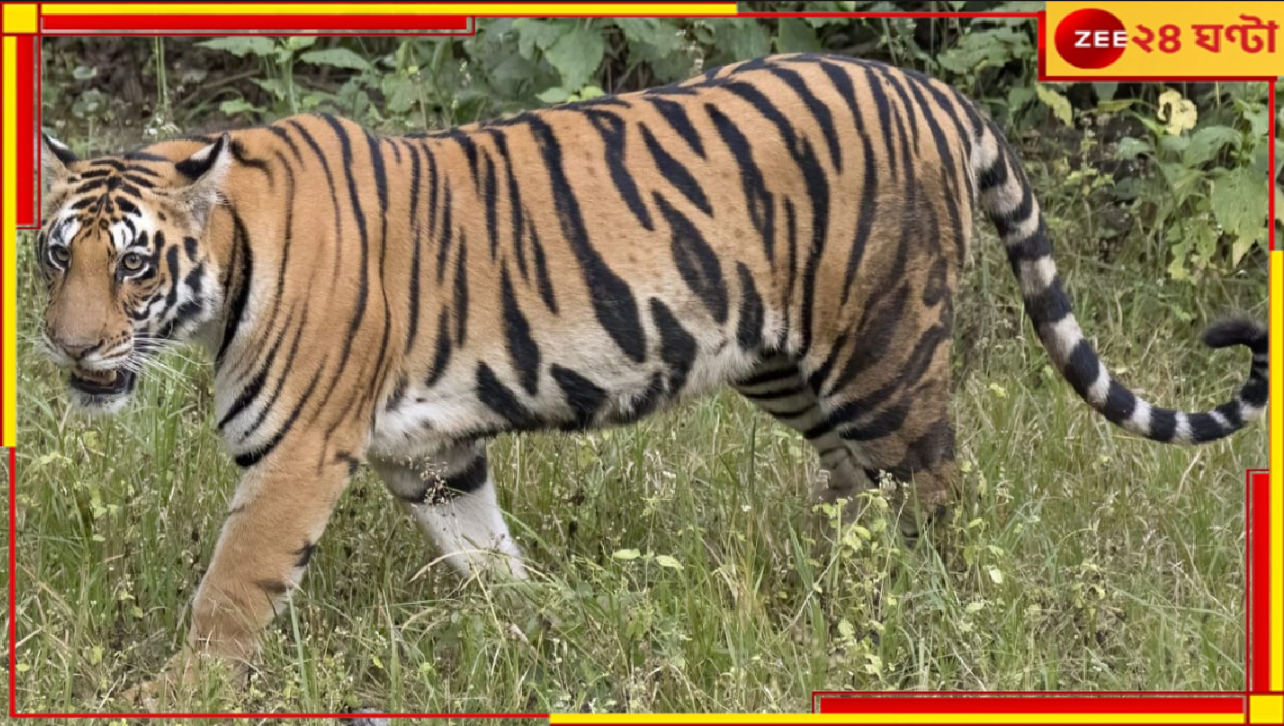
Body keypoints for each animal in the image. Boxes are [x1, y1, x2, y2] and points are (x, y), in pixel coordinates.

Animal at [35, 52, 1267, 700]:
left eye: (132, 263)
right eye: (56, 254)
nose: (69, 349)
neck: (226, 269)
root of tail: (929, 88)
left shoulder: (295, 452)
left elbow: (233, 586)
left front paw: (173, 696)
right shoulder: (431, 451)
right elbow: (485, 552)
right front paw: (537, 626)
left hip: (883, 354)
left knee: (936, 495)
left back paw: (928, 623)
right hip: (785, 365)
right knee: (855, 489)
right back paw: (824, 587)